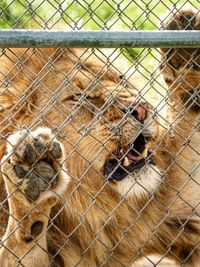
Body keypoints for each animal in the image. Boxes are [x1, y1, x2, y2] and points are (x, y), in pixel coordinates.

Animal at [0, 7, 199, 266]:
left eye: (120, 78)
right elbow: (16, 244)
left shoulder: (176, 209)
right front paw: (31, 172)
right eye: (79, 97)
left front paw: (185, 49)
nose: (141, 108)